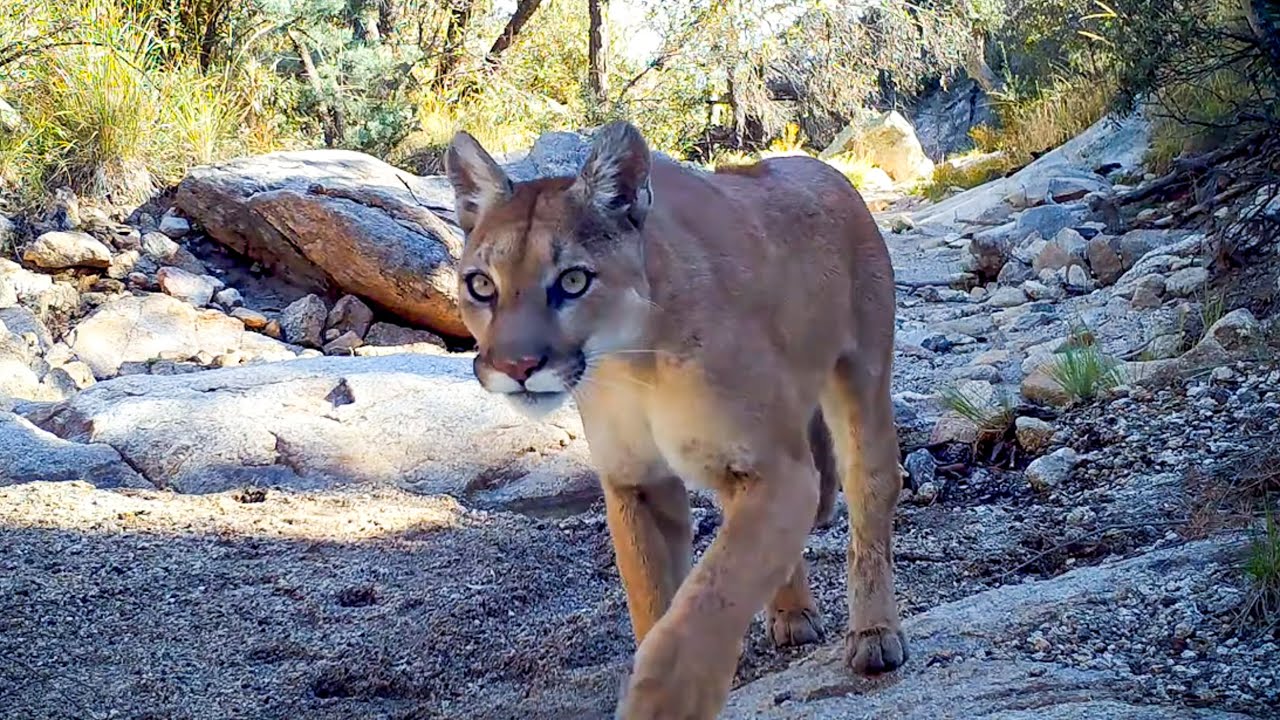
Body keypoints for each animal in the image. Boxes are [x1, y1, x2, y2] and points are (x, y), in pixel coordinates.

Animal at [444, 121, 906, 719]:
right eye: (481, 285)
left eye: (572, 281)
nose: (517, 366)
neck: (633, 363)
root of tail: (824, 169)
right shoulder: (636, 481)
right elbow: (655, 600)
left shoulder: (778, 471)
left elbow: (712, 595)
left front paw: (663, 701)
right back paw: (792, 612)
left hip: (861, 379)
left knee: (869, 490)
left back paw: (873, 634)